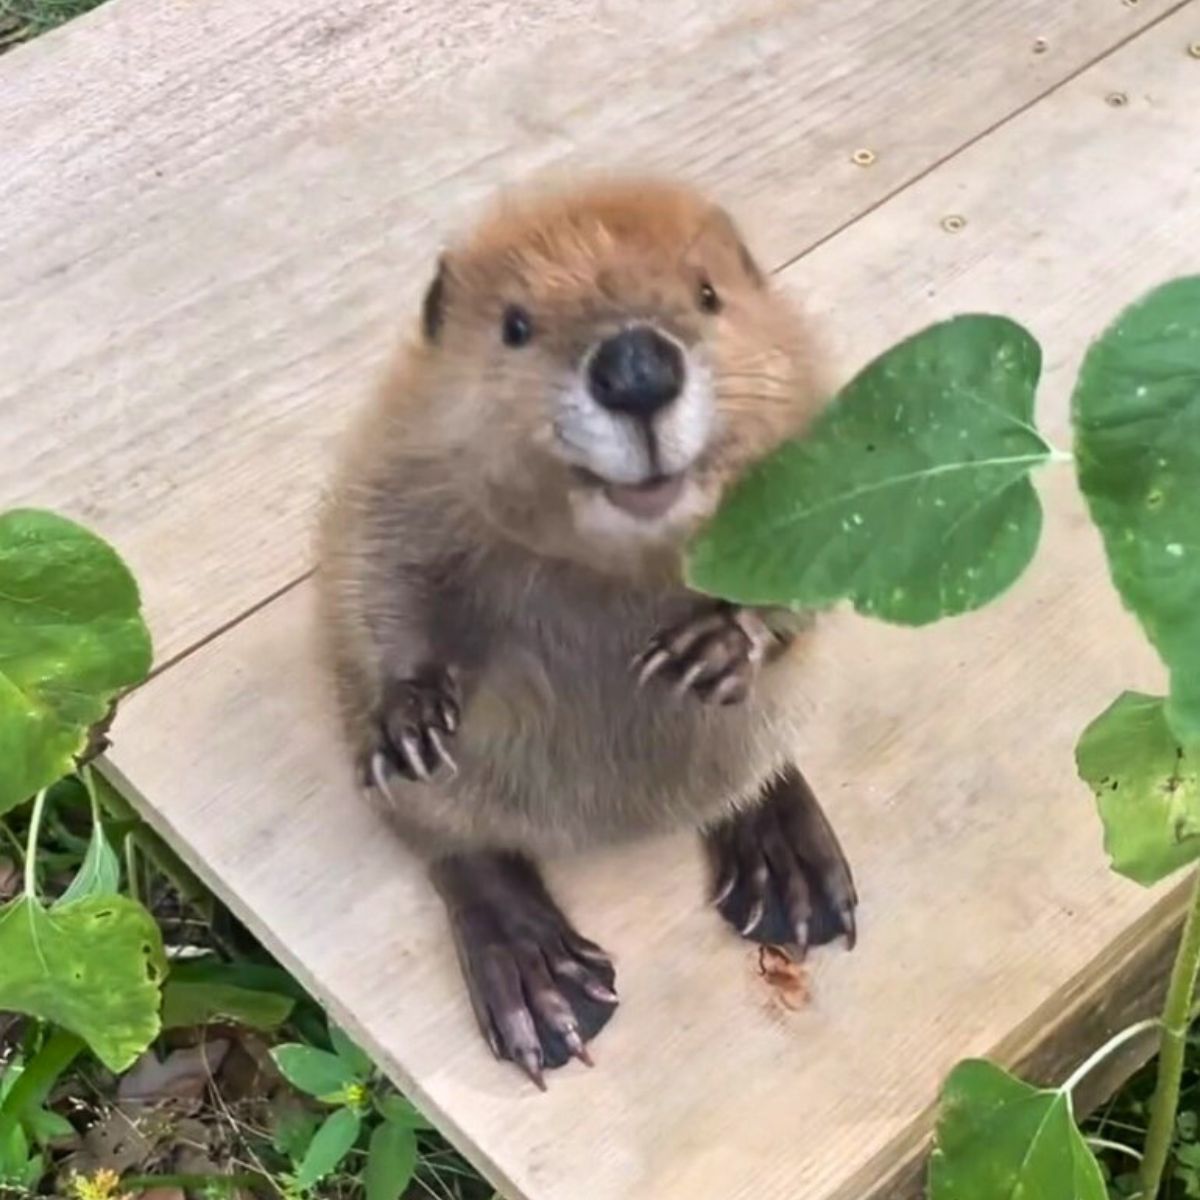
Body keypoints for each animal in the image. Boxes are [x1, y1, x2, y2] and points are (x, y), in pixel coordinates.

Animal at [314, 175, 859, 1089]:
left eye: (707, 295)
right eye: (514, 325)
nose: (636, 370)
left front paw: (710, 648)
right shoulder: (400, 459)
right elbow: (380, 578)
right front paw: (411, 722)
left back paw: (791, 880)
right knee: (455, 844)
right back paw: (543, 984)